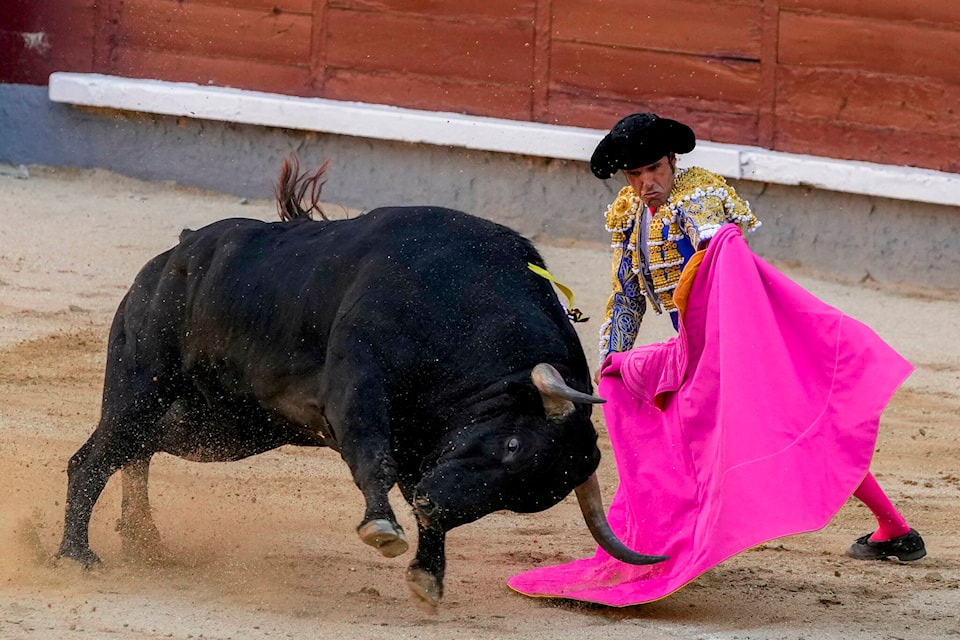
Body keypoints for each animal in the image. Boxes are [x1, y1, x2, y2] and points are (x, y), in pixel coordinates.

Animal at [56, 159, 664, 604]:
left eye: (517, 501)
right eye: (513, 444)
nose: (433, 502)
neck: (462, 308)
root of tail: (173, 254)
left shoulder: (428, 445)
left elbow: (413, 488)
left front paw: (427, 576)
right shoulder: (357, 387)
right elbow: (374, 457)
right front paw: (382, 528)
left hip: (221, 428)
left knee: (138, 450)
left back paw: (144, 542)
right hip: (144, 384)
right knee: (94, 457)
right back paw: (77, 557)